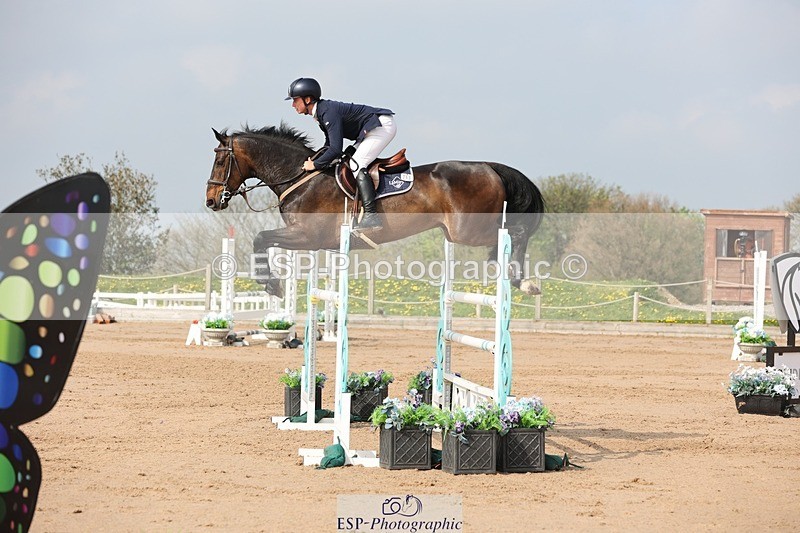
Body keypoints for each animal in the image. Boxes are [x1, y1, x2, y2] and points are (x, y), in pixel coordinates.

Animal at [205, 124, 545, 296]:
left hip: (469, 230)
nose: (211, 200)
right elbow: (262, 240)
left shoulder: (307, 235)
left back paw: (522, 280)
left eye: (220, 160)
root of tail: (491, 167)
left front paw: (271, 283)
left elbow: (260, 238)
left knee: (517, 231)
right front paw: (270, 282)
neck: (301, 177)